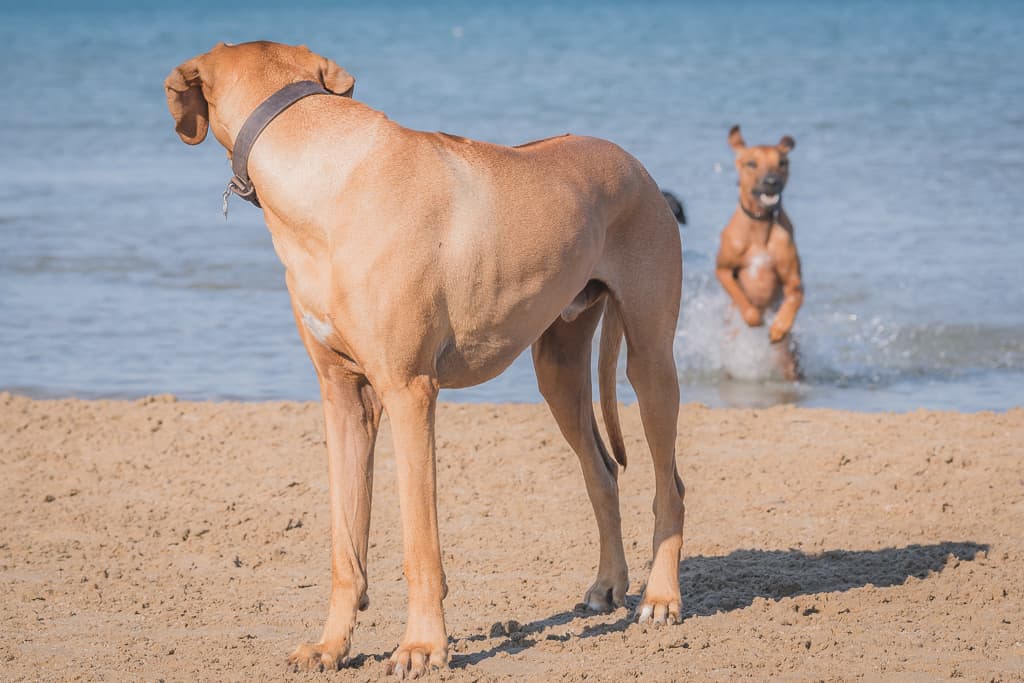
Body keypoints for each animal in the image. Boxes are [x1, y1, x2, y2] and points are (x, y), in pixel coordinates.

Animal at [163, 41, 684, 679]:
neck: (325, 169)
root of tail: (634, 163)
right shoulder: (344, 397)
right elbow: (345, 544)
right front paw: (331, 646)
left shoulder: (409, 391)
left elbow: (419, 544)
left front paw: (421, 646)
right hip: (558, 369)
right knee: (602, 471)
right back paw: (609, 585)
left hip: (650, 359)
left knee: (670, 484)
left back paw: (661, 598)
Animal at [716, 122, 802, 378]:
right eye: (751, 163)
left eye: (782, 162)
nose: (772, 181)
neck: (760, 224)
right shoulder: (723, 269)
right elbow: (739, 295)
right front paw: (755, 318)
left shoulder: (793, 279)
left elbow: (795, 297)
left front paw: (779, 327)